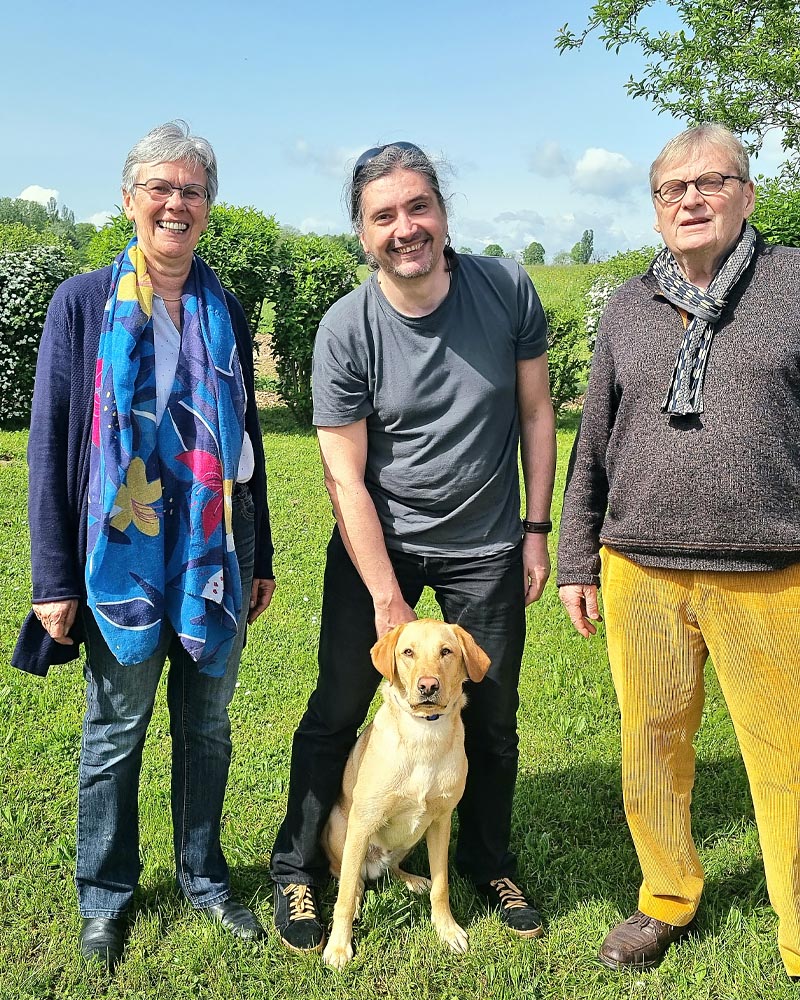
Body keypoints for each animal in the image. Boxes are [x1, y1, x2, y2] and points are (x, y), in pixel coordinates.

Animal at [318, 616, 488, 968]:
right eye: (408, 652)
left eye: (446, 651)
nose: (428, 686)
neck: (424, 734)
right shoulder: (362, 821)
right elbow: (343, 897)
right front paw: (339, 947)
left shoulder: (440, 822)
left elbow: (442, 886)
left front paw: (447, 930)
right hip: (341, 829)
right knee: (348, 878)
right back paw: (358, 897)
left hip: (412, 837)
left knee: (390, 869)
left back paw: (412, 880)